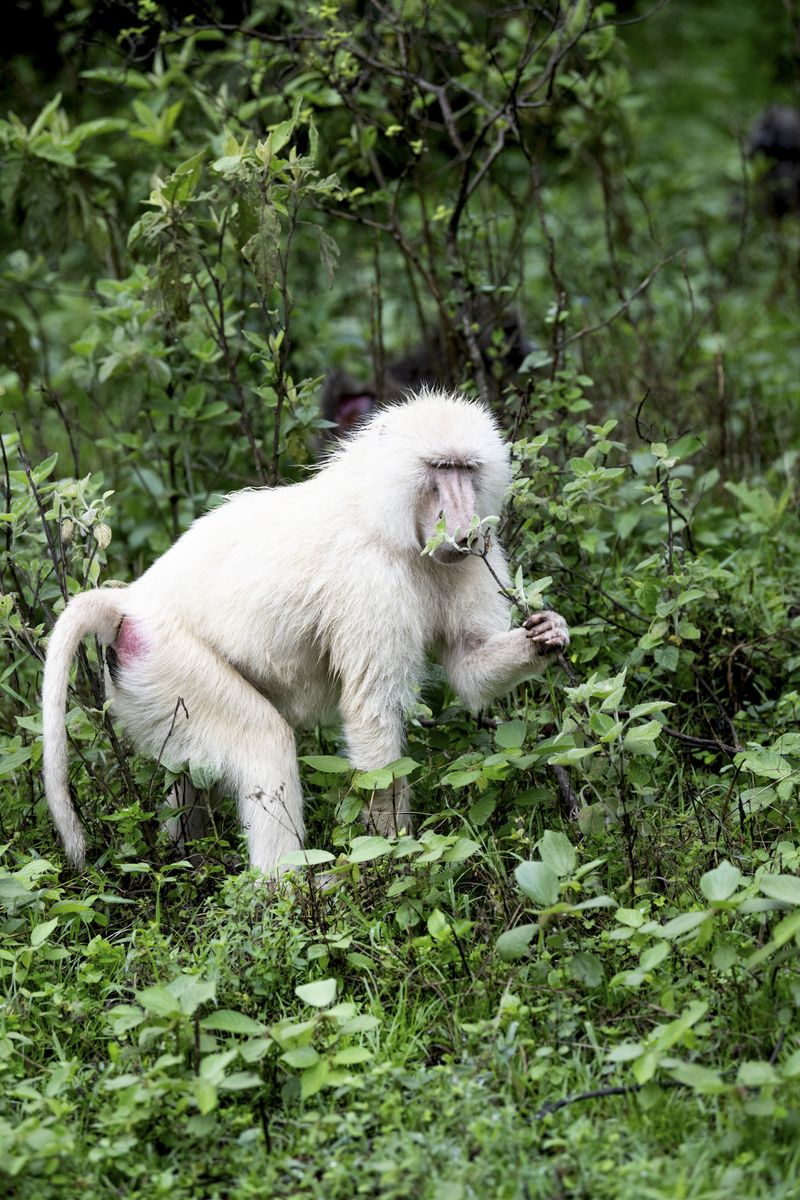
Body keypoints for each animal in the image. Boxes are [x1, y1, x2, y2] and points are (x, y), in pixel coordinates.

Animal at [42, 389, 570, 874]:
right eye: (440, 469)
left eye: (467, 469)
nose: (466, 531)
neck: (386, 518)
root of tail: (130, 601)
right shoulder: (370, 583)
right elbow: (372, 717)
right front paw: (393, 857)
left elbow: (469, 667)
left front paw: (546, 634)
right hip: (169, 661)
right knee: (263, 741)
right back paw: (290, 889)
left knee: (190, 773)